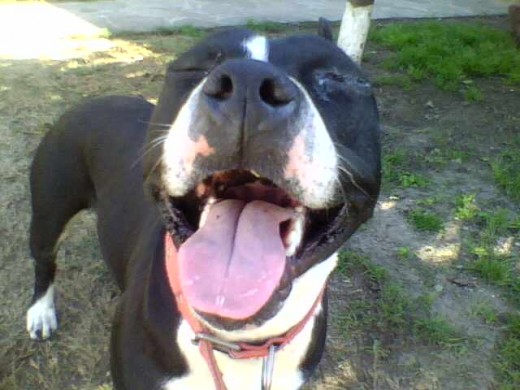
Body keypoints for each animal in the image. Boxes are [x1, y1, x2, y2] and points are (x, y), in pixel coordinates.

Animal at [26, 24, 380, 390]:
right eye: (191, 67)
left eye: (335, 77)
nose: (248, 82)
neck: (238, 346)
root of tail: (95, 100)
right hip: (49, 211)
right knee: (44, 260)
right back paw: (40, 312)